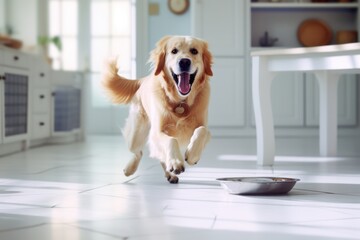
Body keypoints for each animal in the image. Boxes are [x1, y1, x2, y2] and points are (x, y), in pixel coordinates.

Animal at [102, 34, 212, 183]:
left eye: (194, 51)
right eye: (174, 51)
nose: (184, 62)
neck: (180, 102)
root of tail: (143, 79)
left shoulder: (203, 125)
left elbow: (202, 131)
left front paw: (192, 155)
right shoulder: (157, 132)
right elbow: (171, 140)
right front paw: (176, 162)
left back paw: (170, 174)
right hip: (136, 134)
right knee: (138, 152)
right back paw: (130, 168)